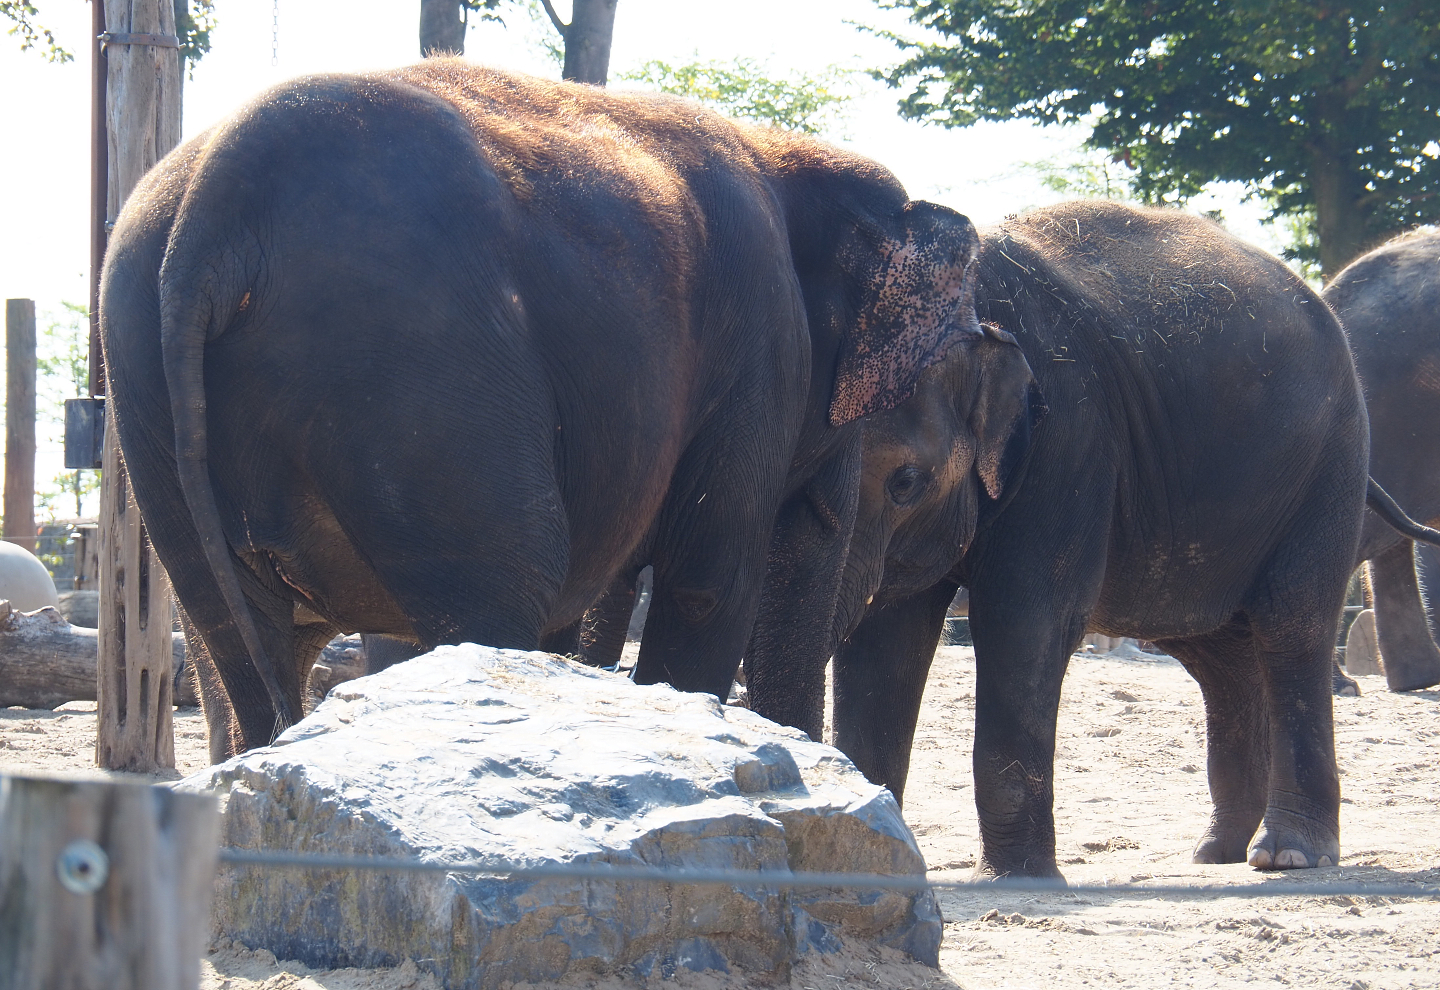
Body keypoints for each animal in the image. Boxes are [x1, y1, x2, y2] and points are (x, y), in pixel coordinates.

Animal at [99, 61, 1019, 759]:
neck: (782, 151)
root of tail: (214, 210)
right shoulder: (759, 348)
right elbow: (708, 586)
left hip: (151, 392)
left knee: (237, 641)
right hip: (415, 368)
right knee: (506, 585)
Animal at [744, 200, 1393, 878]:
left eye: (905, 481)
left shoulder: (1070, 438)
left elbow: (1025, 620)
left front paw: (1018, 877)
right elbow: (885, 639)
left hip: (1330, 465)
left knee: (1292, 624)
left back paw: (1287, 855)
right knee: (1214, 652)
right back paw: (1215, 854)